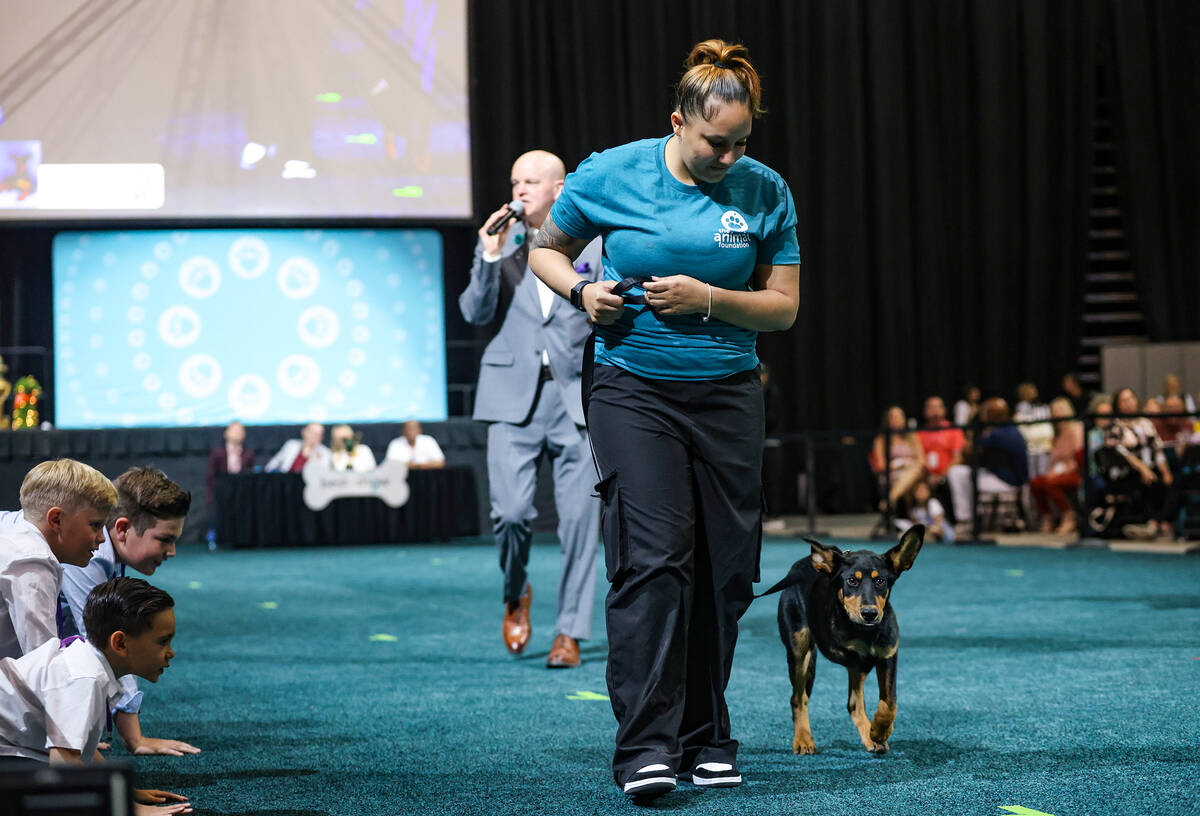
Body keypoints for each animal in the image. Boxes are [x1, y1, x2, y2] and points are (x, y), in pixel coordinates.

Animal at [768, 525, 926, 753]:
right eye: (852, 580)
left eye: (880, 581)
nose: (869, 613)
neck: (865, 632)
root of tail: (801, 564)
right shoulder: (843, 651)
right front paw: (878, 732)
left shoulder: (888, 655)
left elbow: (889, 701)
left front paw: (879, 731)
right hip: (798, 648)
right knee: (798, 697)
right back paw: (804, 739)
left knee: (852, 703)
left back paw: (871, 737)